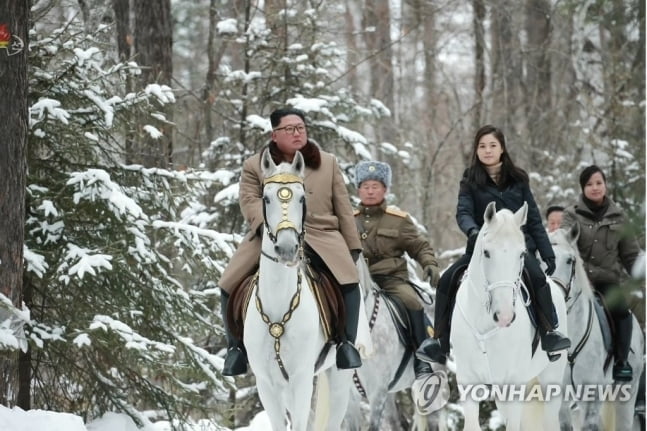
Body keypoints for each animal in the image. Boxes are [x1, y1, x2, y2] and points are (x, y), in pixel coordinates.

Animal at [243, 149, 352, 431]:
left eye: (302, 198)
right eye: (266, 198)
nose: (287, 248)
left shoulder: (301, 378)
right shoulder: (267, 384)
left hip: (339, 377)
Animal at [450, 203, 568, 431]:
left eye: (521, 254)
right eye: (486, 252)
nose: (504, 316)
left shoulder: (514, 383)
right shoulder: (468, 382)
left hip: (551, 377)